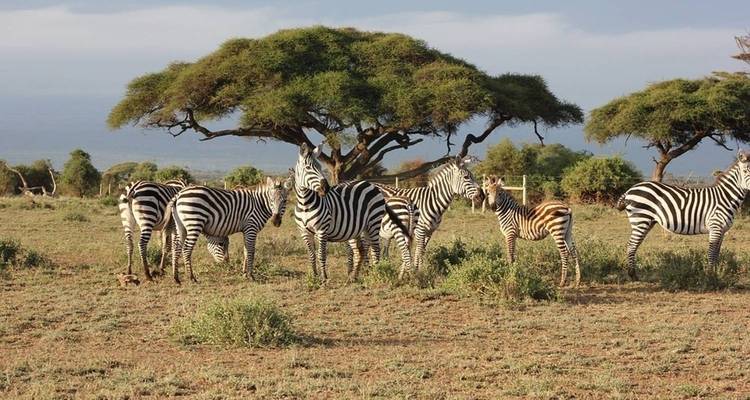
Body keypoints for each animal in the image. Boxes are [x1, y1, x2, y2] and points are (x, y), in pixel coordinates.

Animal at [292, 143, 410, 282]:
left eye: (320, 167)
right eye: (308, 168)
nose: (326, 188)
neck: (305, 204)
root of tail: (371, 184)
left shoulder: (322, 230)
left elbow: (321, 254)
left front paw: (324, 278)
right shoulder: (304, 232)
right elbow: (311, 255)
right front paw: (314, 277)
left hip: (373, 223)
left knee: (376, 249)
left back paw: (376, 274)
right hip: (359, 228)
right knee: (362, 251)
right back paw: (354, 277)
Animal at [617, 151, 750, 280]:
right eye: (745, 171)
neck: (725, 197)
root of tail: (630, 189)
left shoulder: (722, 230)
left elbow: (717, 253)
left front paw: (716, 273)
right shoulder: (715, 227)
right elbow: (711, 253)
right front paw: (710, 276)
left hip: (647, 222)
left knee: (635, 244)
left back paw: (633, 273)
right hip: (640, 219)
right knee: (631, 245)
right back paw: (632, 275)